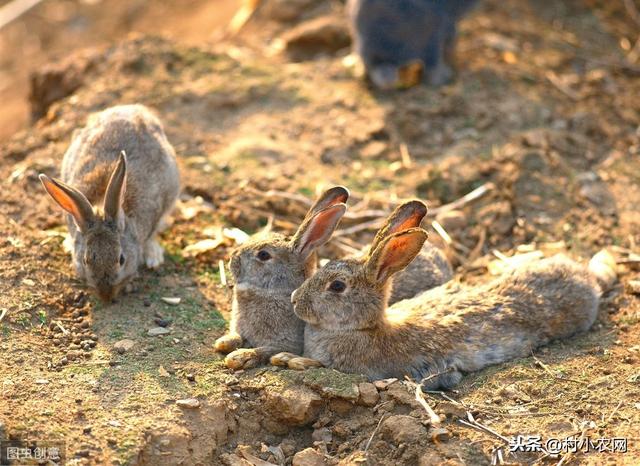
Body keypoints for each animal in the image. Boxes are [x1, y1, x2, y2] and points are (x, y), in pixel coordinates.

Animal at [212, 184, 348, 370]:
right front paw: (224, 342)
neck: (271, 291)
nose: (233, 258)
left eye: (263, 255)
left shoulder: (288, 343)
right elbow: (237, 336)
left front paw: (240, 357)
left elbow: (266, 350)